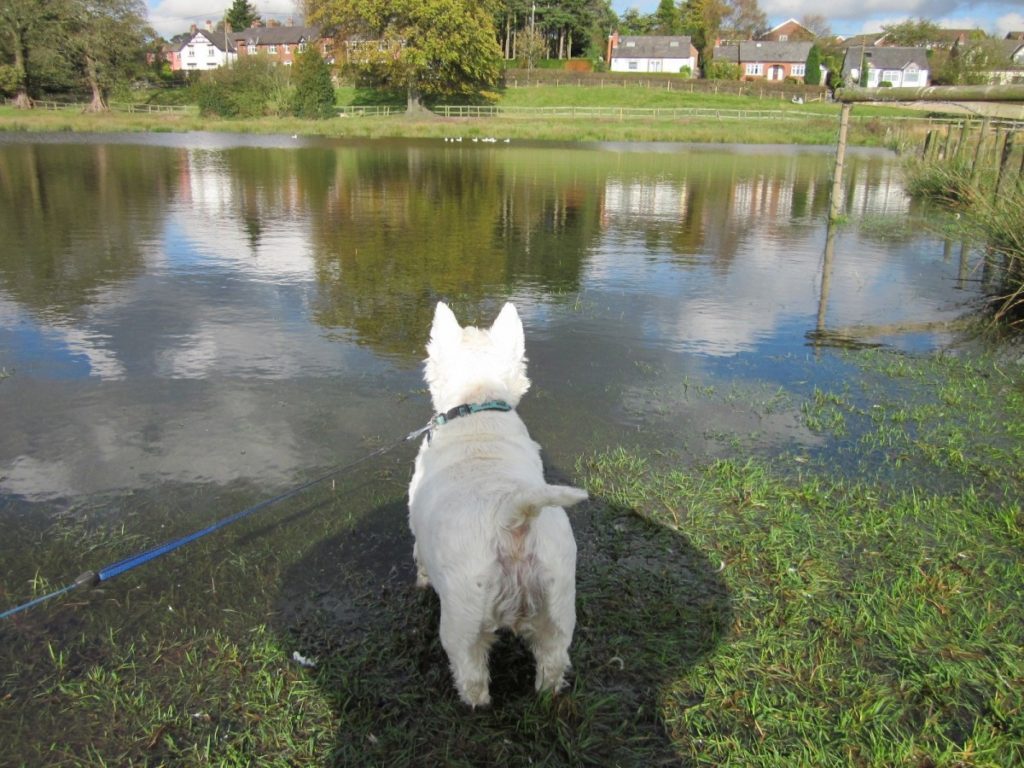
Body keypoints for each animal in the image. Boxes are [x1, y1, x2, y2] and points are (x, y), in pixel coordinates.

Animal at [405, 303, 589, 708]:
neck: (477, 409)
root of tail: (512, 517)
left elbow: (418, 557)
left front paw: (421, 582)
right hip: (558, 605)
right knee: (552, 662)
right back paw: (546, 696)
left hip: (463, 618)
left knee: (473, 675)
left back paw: (473, 706)